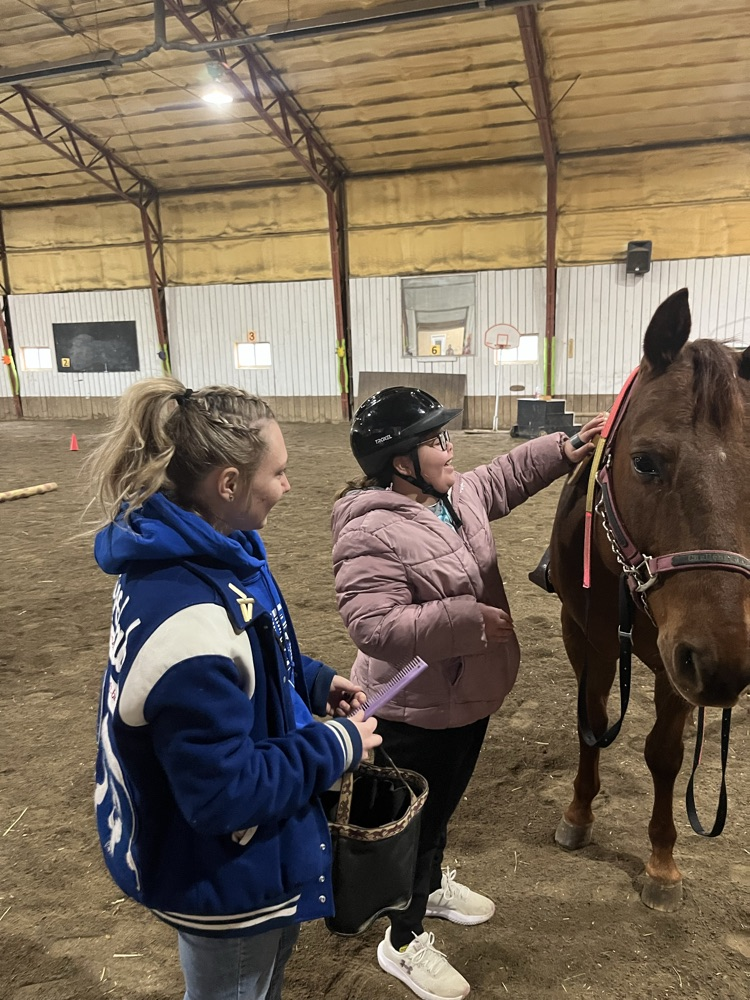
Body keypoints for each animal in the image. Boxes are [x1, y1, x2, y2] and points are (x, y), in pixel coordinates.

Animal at [545, 287, 750, 912]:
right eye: (645, 462)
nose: (725, 666)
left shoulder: (675, 665)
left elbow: (665, 754)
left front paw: (662, 862)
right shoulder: (583, 637)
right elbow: (591, 720)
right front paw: (578, 813)